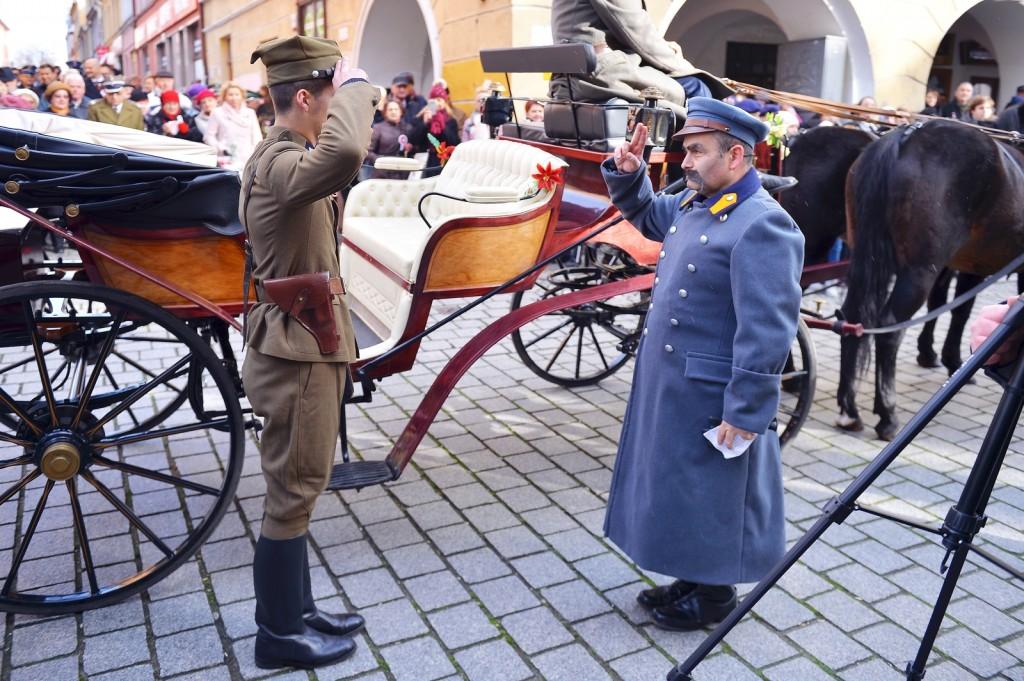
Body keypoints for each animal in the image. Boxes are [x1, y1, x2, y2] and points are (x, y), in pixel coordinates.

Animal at [839, 120, 1024, 440]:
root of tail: (906, 136)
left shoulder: (962, 264)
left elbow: (947, 308)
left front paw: (935, 354)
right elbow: (959, 311)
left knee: (853, 321)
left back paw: (849, 408)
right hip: (918, 272)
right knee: (890, 329)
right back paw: (887, 413)